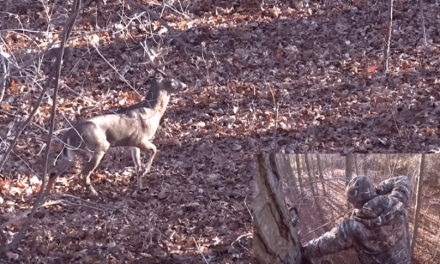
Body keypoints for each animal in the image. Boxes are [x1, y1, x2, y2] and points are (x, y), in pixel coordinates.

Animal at [48, 54, 187, 194]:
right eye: (172, 80)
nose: (185, 86)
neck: (151, 111)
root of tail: (67, 136)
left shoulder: (132, 144)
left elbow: (137, 165)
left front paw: (140, 187)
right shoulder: (139, 138)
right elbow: (154, 149)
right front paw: (146, 172)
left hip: (70, 154)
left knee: (54, 172)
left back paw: (47, 194)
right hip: (97, 147)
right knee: (83, 174)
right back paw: (95, 194)